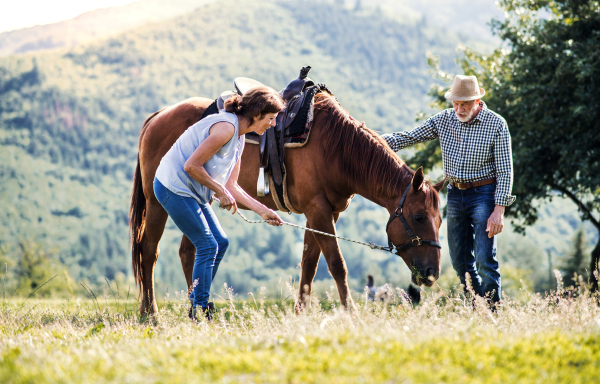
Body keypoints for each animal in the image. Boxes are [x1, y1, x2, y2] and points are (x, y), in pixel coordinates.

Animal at [129, 93, 442, 316]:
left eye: (440, 220)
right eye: (418, 217)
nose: (432, 274)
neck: (336, 148)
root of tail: (158, 116)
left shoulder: (324, 214)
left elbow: (310, 263)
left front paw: (300, 311)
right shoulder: (318, 211)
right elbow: (336, 263)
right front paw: (350, 311)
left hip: (197, 200)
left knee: (189, 251)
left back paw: (196, 306)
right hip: (158, 204)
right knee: (149, 251)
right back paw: (150, 313)